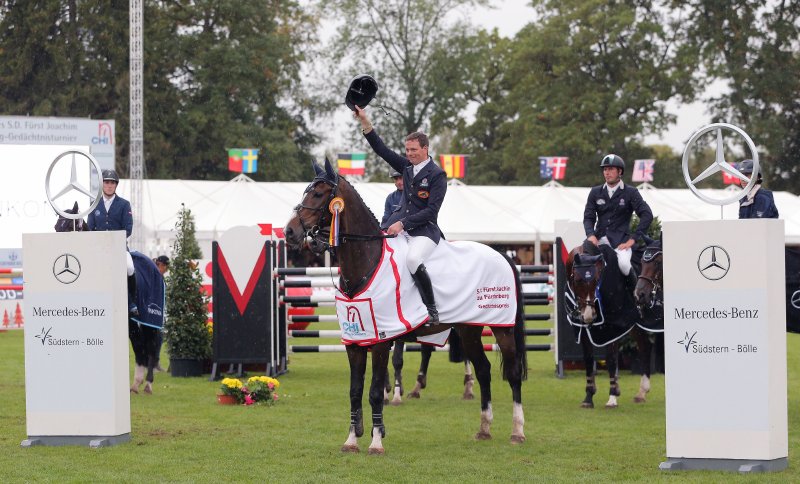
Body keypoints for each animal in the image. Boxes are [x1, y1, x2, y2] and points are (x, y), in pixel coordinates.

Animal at [284, 160, 528, 454]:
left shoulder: (381, 340)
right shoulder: (355, 342)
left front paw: (376, 441)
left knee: (513, 374)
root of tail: (502, 255)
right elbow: (354, 391)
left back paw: (517, 432)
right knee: (483, 370)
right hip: (468, 329)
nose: (290, 232)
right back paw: (484, 428)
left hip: (502, 329)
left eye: (319, 194)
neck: (367, 261)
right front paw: (352, 440)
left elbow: (375, 391)